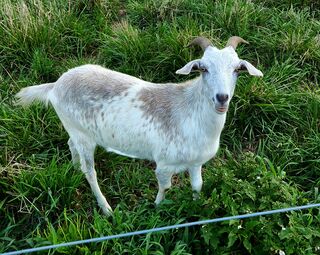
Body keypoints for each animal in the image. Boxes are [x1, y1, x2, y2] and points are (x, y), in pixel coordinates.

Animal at [15, 36, 262, 215]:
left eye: (237, 69)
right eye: (203, 68)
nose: (222, 98)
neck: (189, 111)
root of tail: (55, 85)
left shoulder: (196, 162)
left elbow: (197, 186)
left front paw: (196, 206)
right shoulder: (164, 164)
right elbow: (165, 187)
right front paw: (157, 208)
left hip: (74, 129)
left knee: (70, 144)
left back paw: (75, 167)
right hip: (85, 138)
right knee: (90, 172)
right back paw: (106, 208)